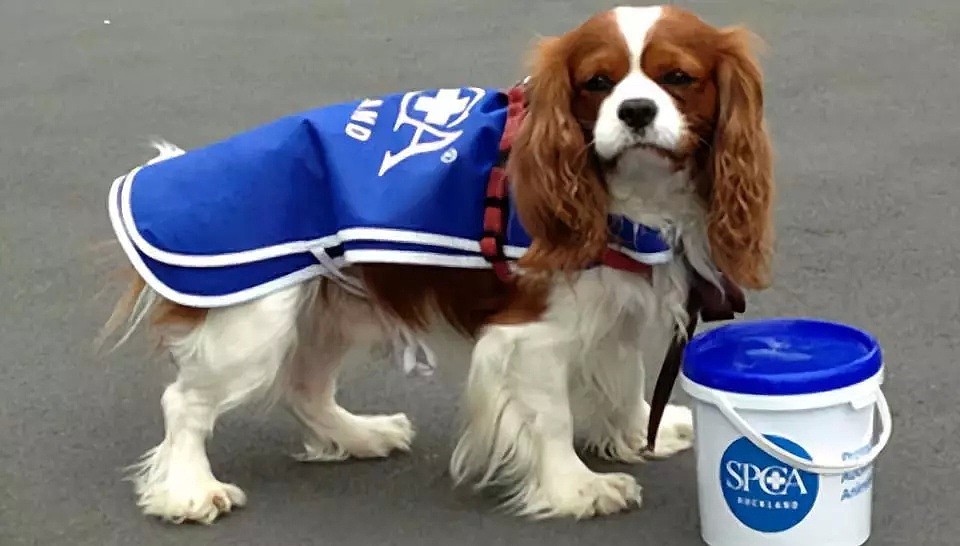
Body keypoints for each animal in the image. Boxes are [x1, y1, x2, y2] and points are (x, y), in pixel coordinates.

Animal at [97, 4, 772, 524]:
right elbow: (551, 417)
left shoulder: (615, 305)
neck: (628, 196)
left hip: (334, 304)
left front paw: (638, 435)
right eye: (597, 83)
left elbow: (626, 376)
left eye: (678, 77)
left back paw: (358, 435)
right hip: (252, 321)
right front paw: (577, 488)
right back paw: (188, 491)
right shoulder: (530, 333)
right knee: (185, 404)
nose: (635, 111)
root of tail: (174, 172)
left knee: (304, 385)